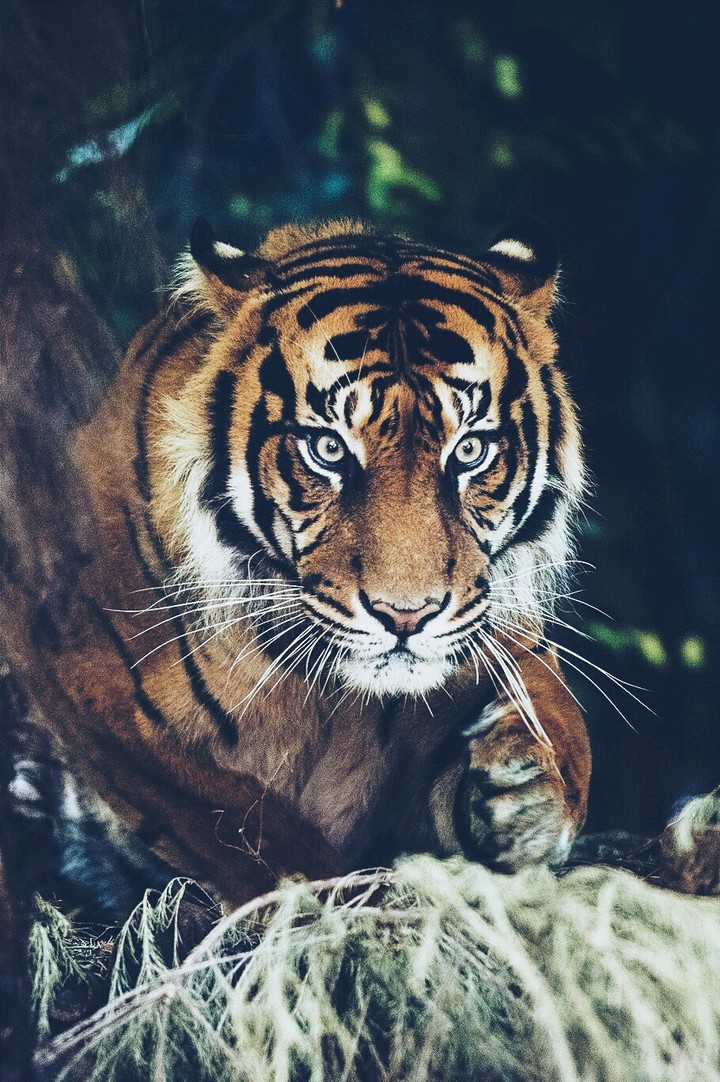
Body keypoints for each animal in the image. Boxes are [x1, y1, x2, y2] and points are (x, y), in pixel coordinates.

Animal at [1, 217, 591, 912]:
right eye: (328, 449)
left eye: (470, 450)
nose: (406, 616)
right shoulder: (93, 685)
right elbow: (246, 826)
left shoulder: (499, 639)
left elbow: (559, 726)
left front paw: (524, 793)